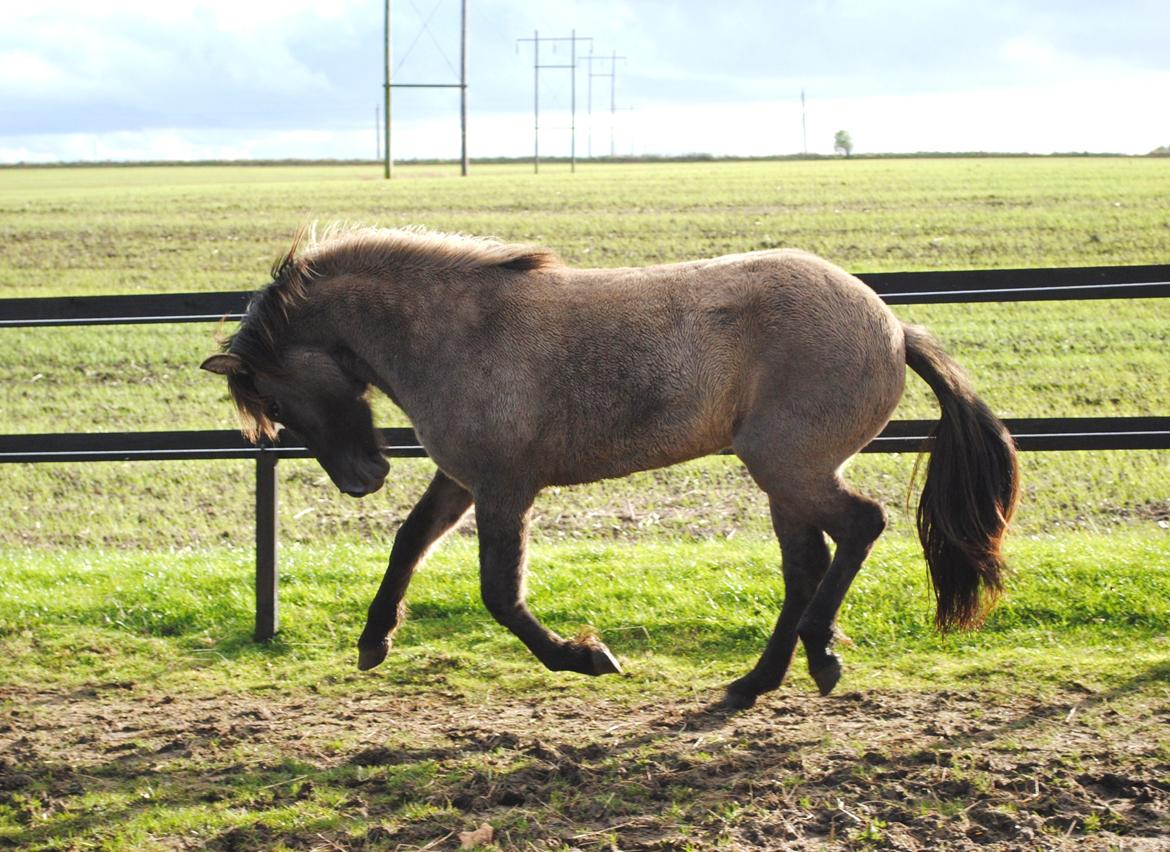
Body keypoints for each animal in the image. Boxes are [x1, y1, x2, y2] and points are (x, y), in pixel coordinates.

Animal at [201, 223, 1015, 706]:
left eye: (278, 396)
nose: (361, 480)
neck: (457, 335)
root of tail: (892, 326)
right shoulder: (463, 479)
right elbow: (409, 542)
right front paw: (374, 641)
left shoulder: (504, 488)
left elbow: (500, 595)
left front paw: (587, 657)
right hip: (787, 479)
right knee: (808, 564)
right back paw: (758, 680)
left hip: (790, 469)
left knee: (860, 528)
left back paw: (817, 657)